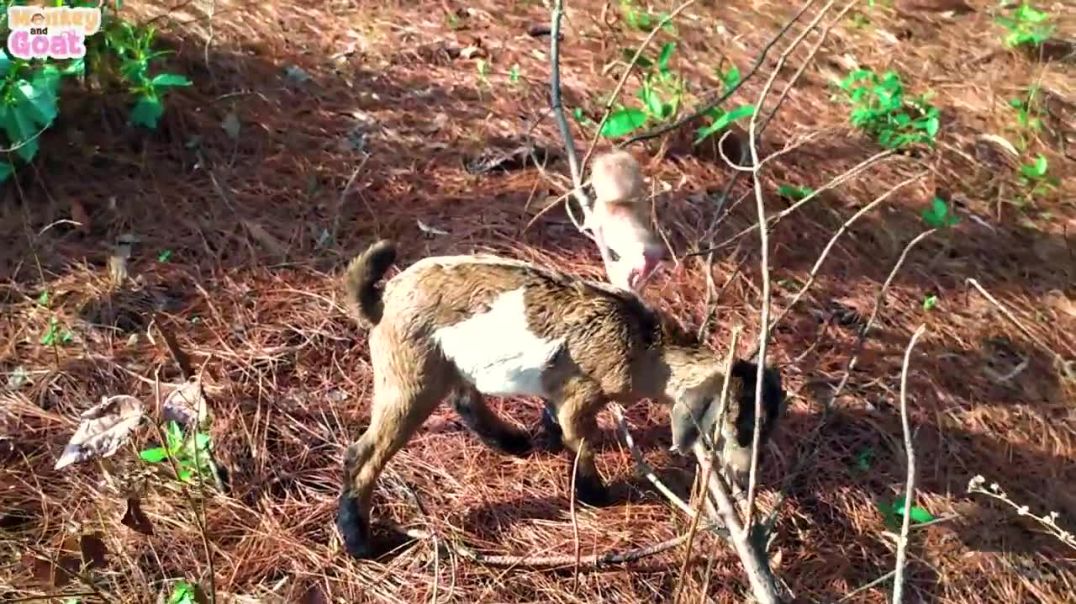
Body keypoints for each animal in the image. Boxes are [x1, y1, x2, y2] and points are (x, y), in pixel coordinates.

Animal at [335, 239, 785, 559]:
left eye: (767, 427)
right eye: (736, 428)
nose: (746, 477)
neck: (646, 348)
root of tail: (383, 299)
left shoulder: (560, 390)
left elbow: (554, 418)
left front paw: (547, 440)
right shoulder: (582, 395)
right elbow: (581, 439)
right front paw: (595, 494)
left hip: (449, 361)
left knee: (465, 398)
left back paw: (513, 442)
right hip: (409, 376)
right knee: (363, 454)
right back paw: (361, 543)